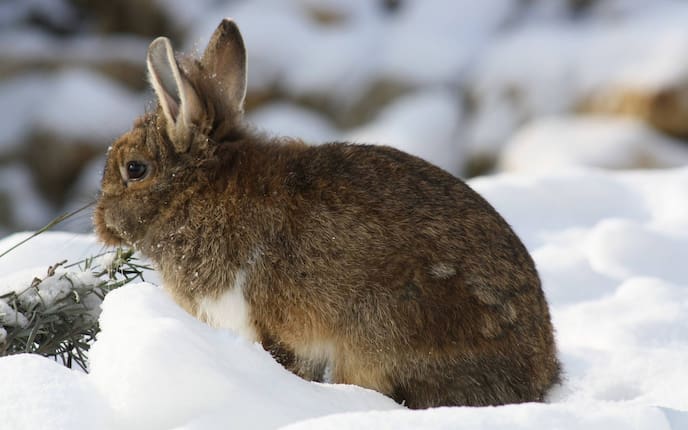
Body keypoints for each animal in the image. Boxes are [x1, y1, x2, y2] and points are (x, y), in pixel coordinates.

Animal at [94, 19, 560, 410]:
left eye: (134, 169)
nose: (100, 223)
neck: (198, 191)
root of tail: (538, 379)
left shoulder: (265, 324)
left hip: (386, 328)